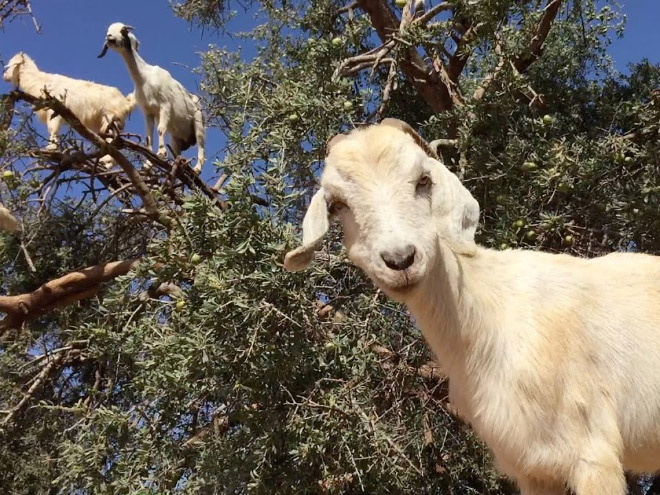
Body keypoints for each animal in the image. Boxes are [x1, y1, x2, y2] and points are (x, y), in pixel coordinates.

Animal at [98, 22, 204, 174]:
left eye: (123, 30)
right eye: (108, 30)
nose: (110, 37)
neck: (144, 78)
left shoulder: (165, 105)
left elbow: (160, 129)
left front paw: (161, 154)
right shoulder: (148, 111)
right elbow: (149, 137)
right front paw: (148, 164)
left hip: (198, 123)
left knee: (201, 147)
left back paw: (196, 169)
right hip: (176, 138)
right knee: (177, 150)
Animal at [284, 120, 660, 495]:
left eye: (423, 180)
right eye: (336, 204)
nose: (400, 259)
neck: (493, 318)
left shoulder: (592, 452)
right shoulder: (534, 467)